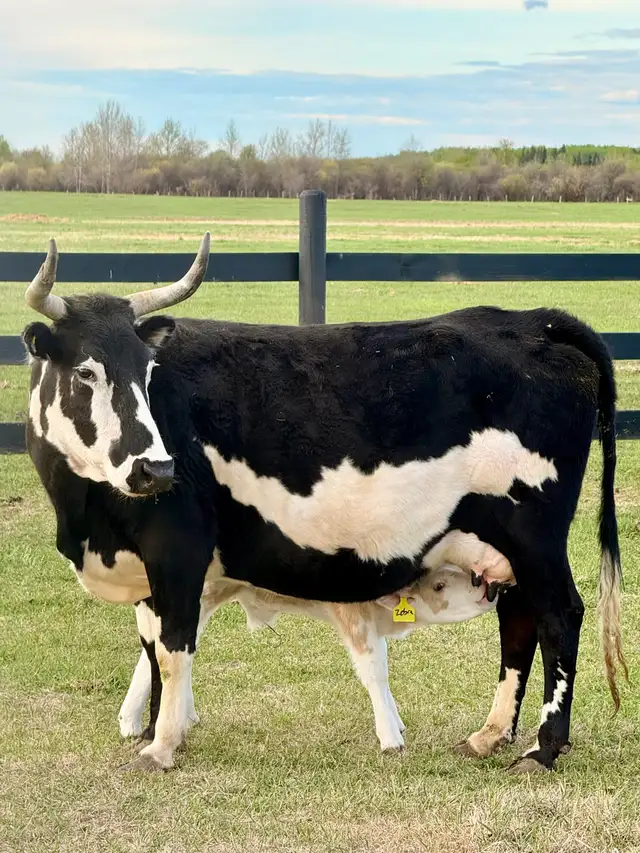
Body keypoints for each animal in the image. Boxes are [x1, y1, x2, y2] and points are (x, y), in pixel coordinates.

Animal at [22, 234, 626, 774]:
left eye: (148, 372)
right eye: (85, 372)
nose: (156, 469)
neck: (90, 520)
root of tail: (534, 323)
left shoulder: (178, 551)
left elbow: (172, 651)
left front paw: (161, 746)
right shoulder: (148, 568)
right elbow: (152, 647)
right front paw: (153, 731)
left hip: (535, 536)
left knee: (558, 617)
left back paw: (544, 748)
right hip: (504, 547)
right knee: (519, 622)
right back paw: (490, 735)